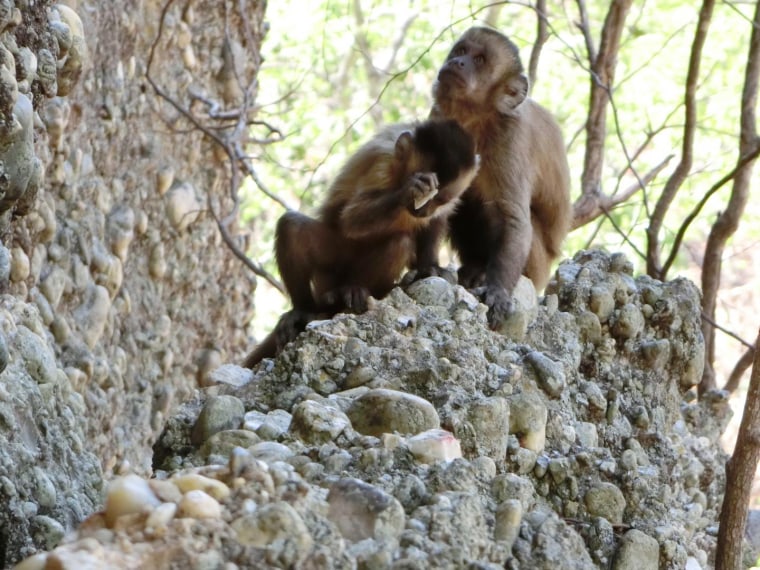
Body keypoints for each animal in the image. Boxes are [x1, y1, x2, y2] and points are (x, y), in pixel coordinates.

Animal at [242, 120, 480, 368]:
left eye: (440, 199)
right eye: (424, 195)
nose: (422, 210)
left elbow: (436, 221)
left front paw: (429, 267)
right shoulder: (382, 162)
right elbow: (351, 218)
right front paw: (409, 189)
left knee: (399, 243)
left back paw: (357, 290)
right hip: (330, 268)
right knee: (293, 226)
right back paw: (307, 309)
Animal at [428, 26, 568, 328]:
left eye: (479, 60)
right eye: (461, 51)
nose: (457, 62)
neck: (477, 119)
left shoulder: (510, 137)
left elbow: (513, 218)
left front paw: (497, 290)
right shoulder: (440, 119)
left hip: (539, 267)